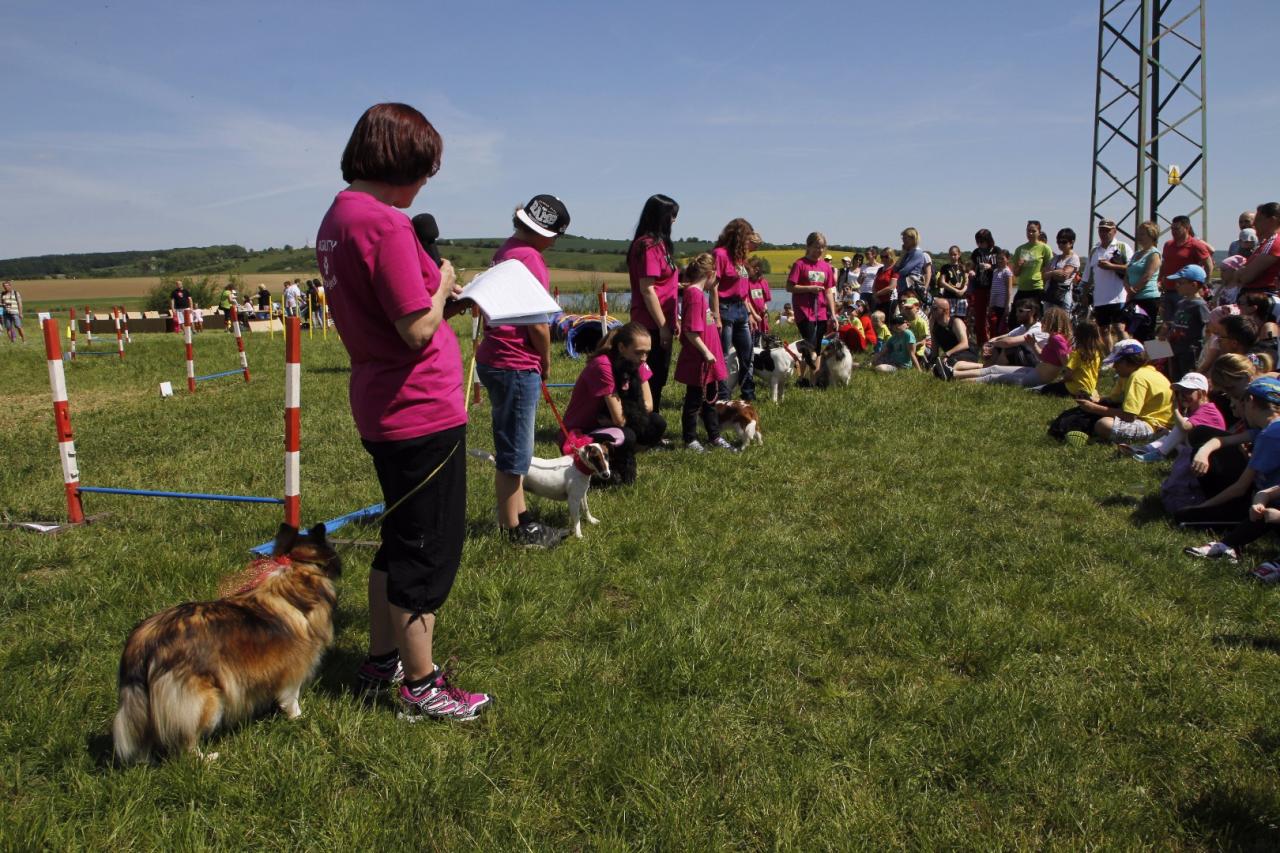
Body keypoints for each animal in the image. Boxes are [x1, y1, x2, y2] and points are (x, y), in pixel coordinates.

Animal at [112, 523, 341, 764]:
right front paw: (298, 717)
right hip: (202, 700)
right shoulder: (295, 665)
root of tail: (145, 641)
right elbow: (291, 697)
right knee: (186, 743)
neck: (296, 573)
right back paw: (207, 758)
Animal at [470, 442, 610, 537]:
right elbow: (577, 519)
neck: (578, 464)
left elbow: (586, 509)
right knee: (497, 511)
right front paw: (578, 534)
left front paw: (591, 520)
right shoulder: (573, 500)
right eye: (595, 458)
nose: (607, 475)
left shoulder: (582, 494)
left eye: (607, 456)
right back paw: (497, 530)